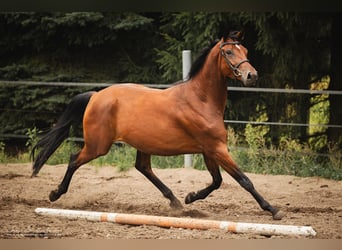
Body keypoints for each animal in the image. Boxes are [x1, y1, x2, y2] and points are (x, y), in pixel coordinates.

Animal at [31, 31, 284, 221]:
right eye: (229, 52)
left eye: (246, 51)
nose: (252, 75)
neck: (201, 100)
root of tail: (96, 96)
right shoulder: (217, 148)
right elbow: (244, 180)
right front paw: (273, 210)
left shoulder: (209, 150)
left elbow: (217, 181)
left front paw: (190, 197)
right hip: (98, 146)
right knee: (74, 159)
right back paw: (55, 194)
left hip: (142, 144)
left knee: (143, 168)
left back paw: (175, 202)